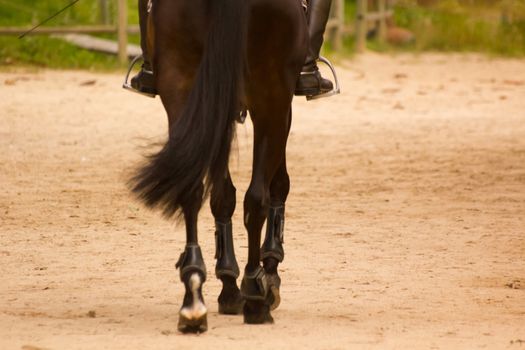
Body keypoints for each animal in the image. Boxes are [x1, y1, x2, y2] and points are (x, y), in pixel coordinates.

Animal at [130, 0, 308, 332]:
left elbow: (222, 196)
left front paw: (229, 283)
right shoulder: (280, 104)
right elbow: (276, 184)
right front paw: (269, 273)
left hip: (181, 83)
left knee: (192, 189)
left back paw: (194, 298)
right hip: (271, 94)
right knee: (257, 198)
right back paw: (255, 295)